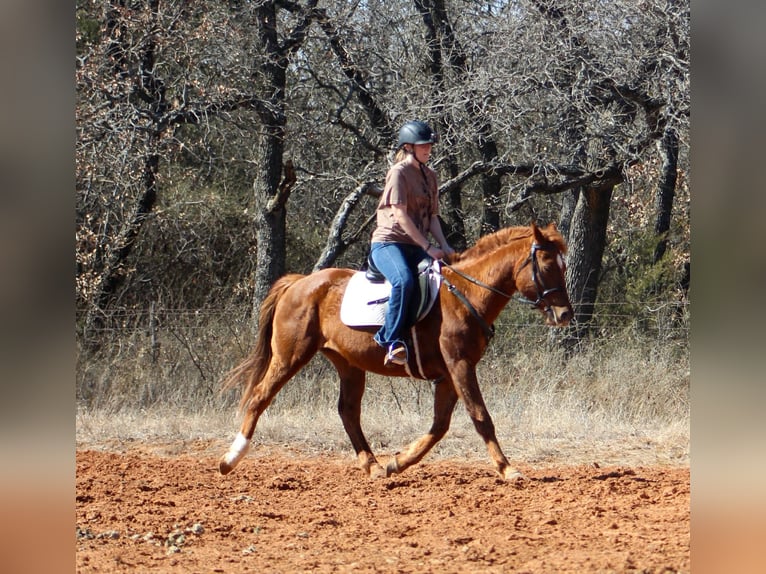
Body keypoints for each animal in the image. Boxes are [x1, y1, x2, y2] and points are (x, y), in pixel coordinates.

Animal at [219, 222, 573, 480]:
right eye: (546, 266)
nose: (565, 315)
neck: (465, 293)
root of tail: (299, 282)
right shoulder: (459, 365)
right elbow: (480, 416)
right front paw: (508, 469)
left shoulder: (450, 373)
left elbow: (439, 425)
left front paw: (397, 462)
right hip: (290, 356)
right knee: (260, 396)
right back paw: (230, 459)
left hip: (348, 364)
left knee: (348, 412)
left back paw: (373, 465)